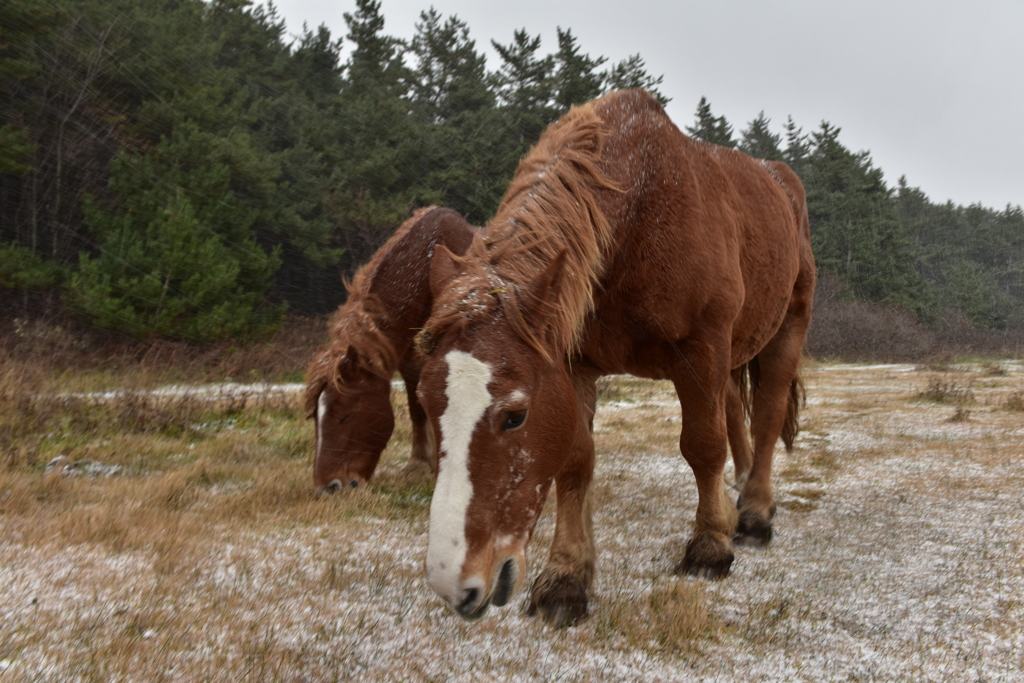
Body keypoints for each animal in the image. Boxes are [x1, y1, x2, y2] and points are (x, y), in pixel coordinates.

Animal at [303, 205, 475, 493]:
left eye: (345, 417)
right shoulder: (410, 362)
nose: (328, 487)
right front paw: (419, 464)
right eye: (316, 418)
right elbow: (417, 407)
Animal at [413, 89, 815, 626]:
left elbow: (703, 446)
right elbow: (576, 461)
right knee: (735, 412)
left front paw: (709, 545)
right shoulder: (574, 363)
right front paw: (566, 578)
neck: (641, 212)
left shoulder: (702, 348)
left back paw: (752, 514)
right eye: (426, 401)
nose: (454, 584)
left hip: (784, 331)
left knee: (767, 416)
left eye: (515, 416)